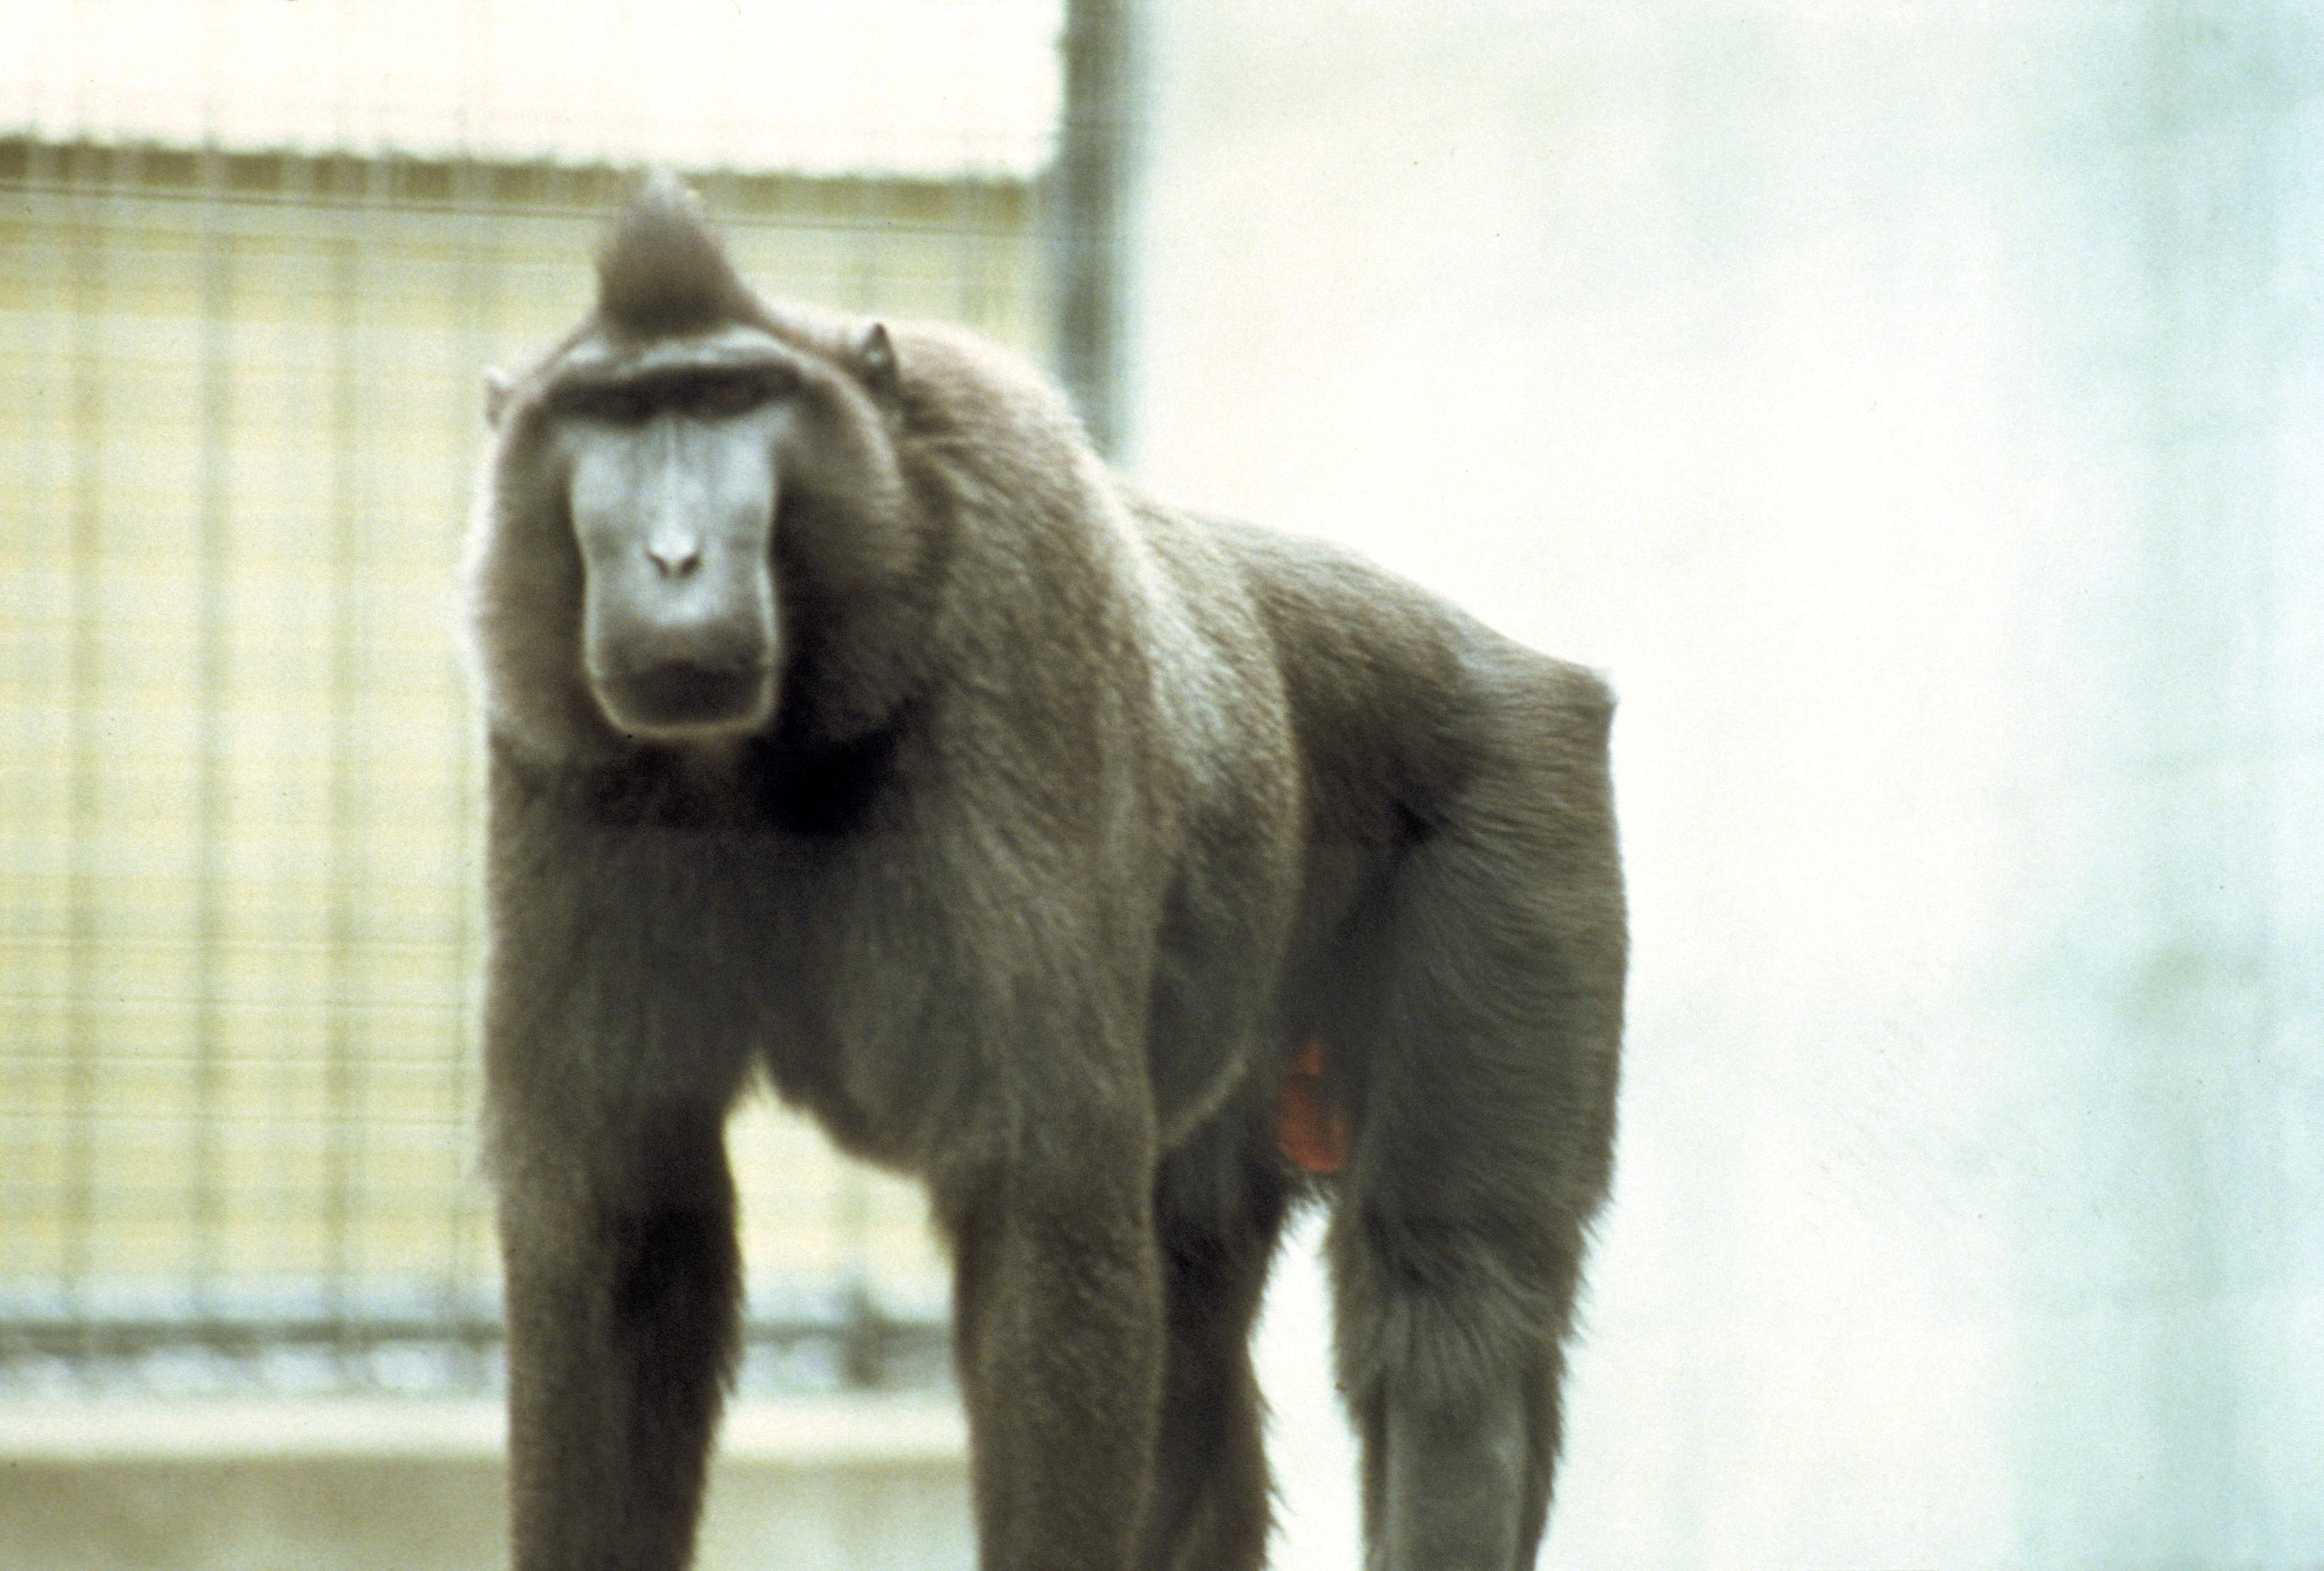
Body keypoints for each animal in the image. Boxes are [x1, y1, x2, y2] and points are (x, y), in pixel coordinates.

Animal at [464, 173, 1624, 1571]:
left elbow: (1043, 1208)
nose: (676, 556)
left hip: (1526, 791)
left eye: (731, 398)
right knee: (1196, 1349)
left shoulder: (1011, 598)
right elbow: (619, 1234)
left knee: (1451, 1320)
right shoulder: (544, 732)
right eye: (616, 417)